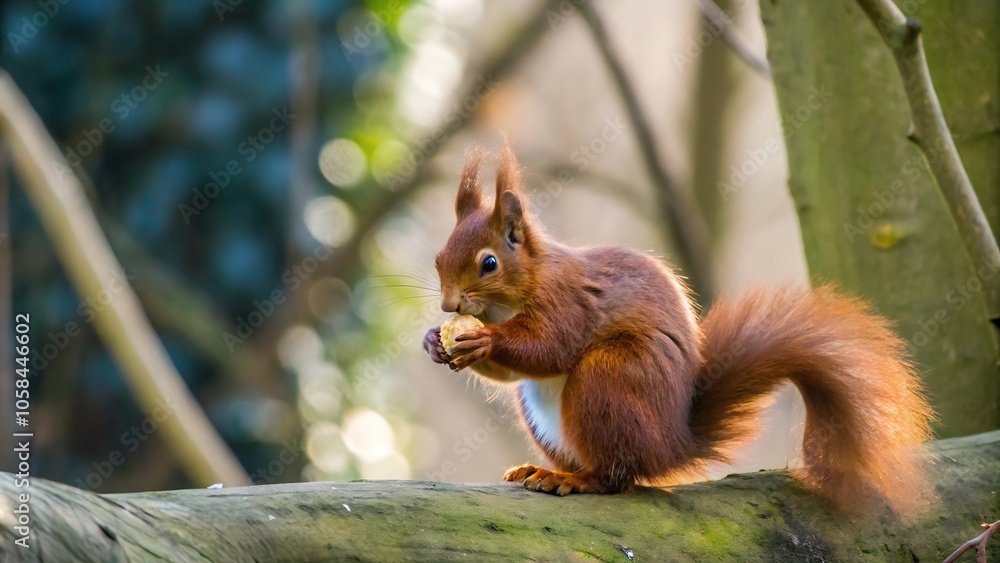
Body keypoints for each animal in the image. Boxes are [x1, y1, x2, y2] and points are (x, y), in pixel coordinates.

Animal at [422, 141, 935, 514]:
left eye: (489, 263)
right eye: (438, 258)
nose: (449, 304)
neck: (507, 303)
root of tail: (671, 443)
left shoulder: (567, 302)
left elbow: (550, 348)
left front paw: (484, 340)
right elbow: (513, 371)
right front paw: (434, 342)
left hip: (608, 378)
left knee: (614, 477)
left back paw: (570, 479)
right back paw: (538, 470)